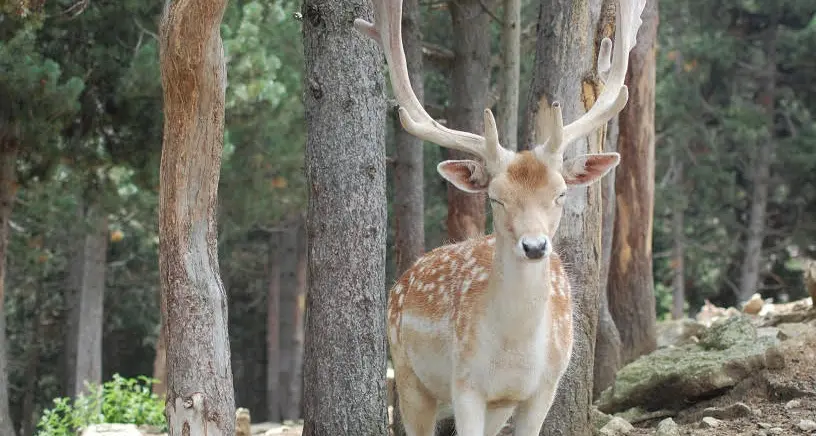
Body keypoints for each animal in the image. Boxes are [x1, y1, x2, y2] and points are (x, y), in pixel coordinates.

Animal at [354, 0, 648, 432]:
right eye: (495, 198)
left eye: (560, 193)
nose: (535, 246)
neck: (513, 354)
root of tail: (403, 279)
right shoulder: (465, 385)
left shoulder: (542, 389)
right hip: (408, 375)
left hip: (495, 405)